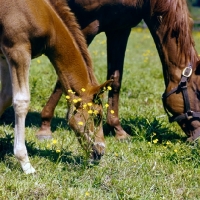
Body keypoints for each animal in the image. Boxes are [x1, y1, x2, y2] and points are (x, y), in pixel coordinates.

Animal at [0, 0, 111, 173]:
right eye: (97, 115)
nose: (100, 152)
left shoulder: (4, 57)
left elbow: (5, 97)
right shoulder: (17, 51)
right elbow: (21, 101)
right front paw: (26, 164)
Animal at [36, 0, 200, 141]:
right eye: (198, 92)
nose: (197, 138)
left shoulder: (119, 28)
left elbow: (115, 80)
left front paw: (118, 130)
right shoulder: (88, 25)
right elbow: (64, 76)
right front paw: (45, 127)